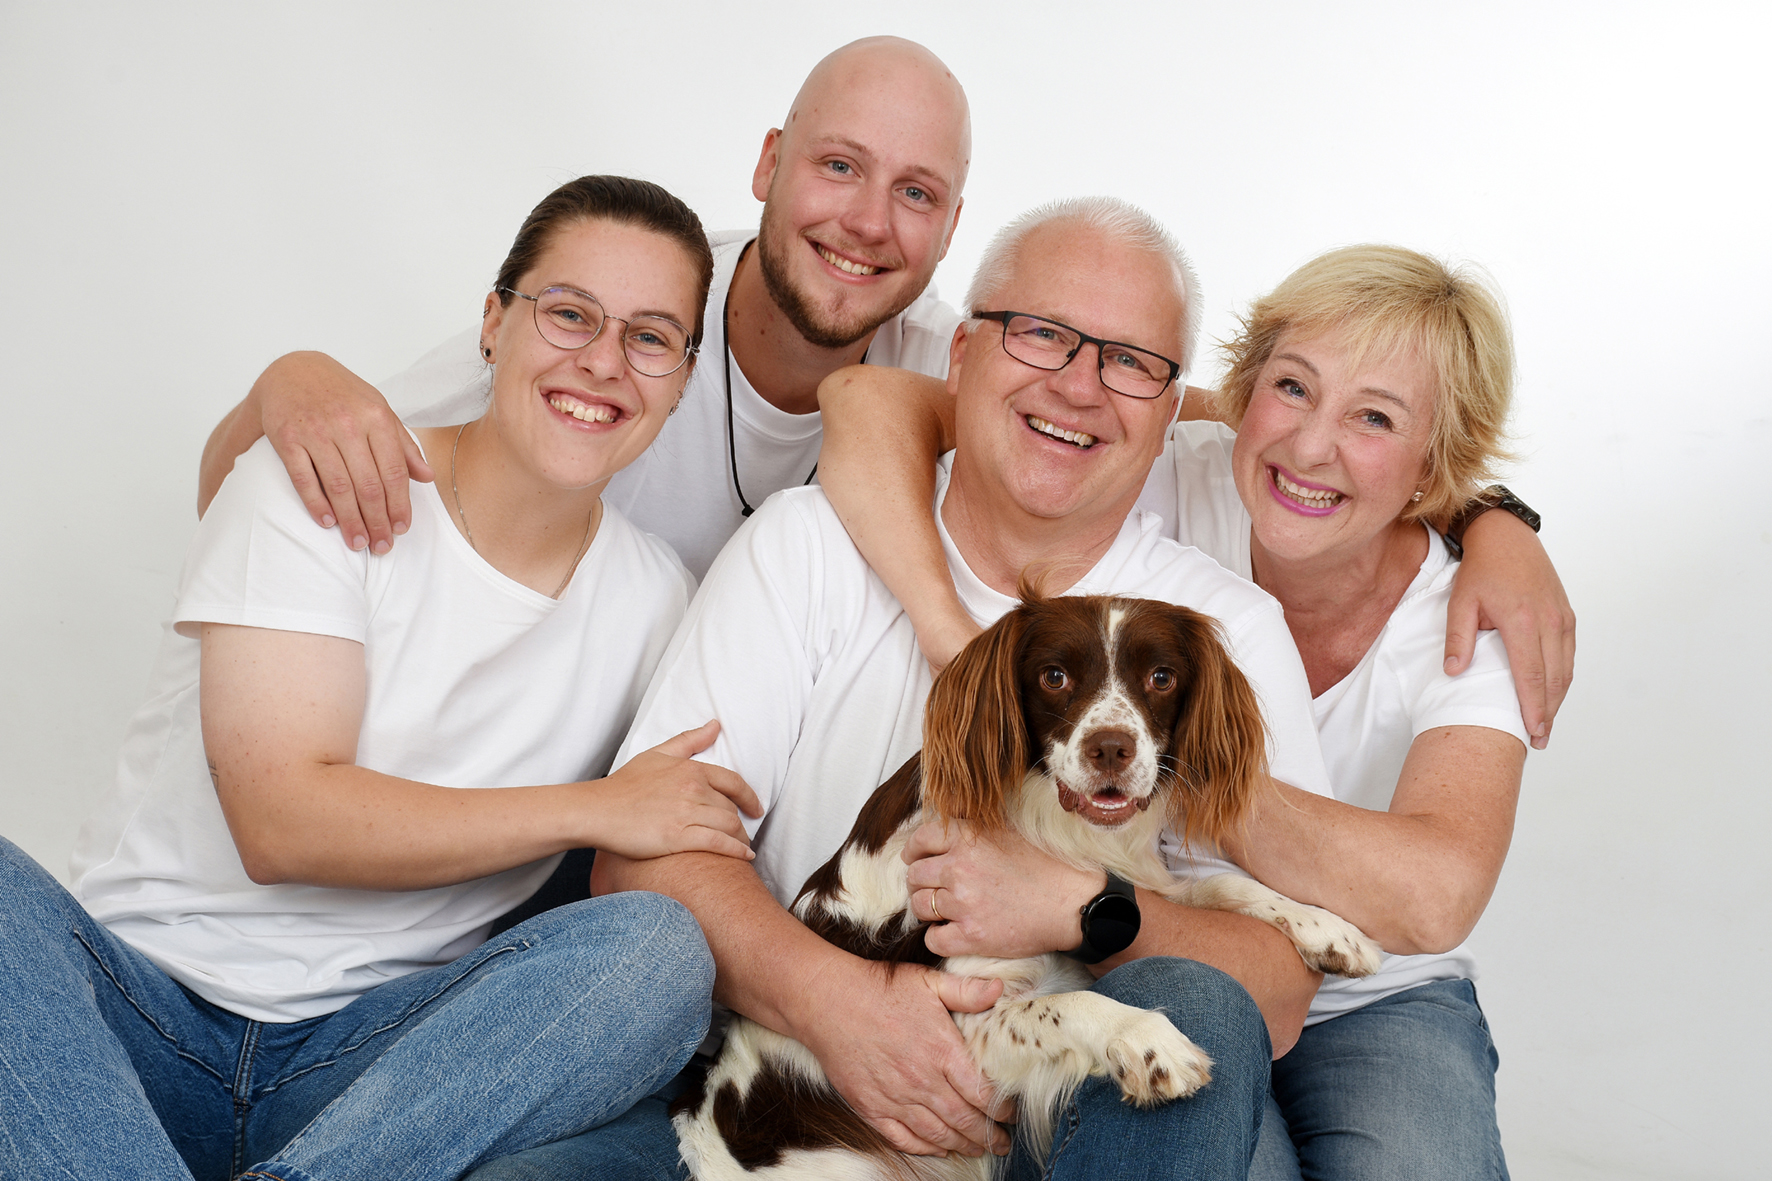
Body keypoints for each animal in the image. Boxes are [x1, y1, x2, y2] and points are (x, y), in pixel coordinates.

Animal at [672, 593, 1382, 1180]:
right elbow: (1069, 1005)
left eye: (1162, 678)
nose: (1110, 748)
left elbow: (1229, 890)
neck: (1055, 826)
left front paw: (1330, 929)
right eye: (1054, 677)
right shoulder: (946, 1033)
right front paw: (1148, 1041)